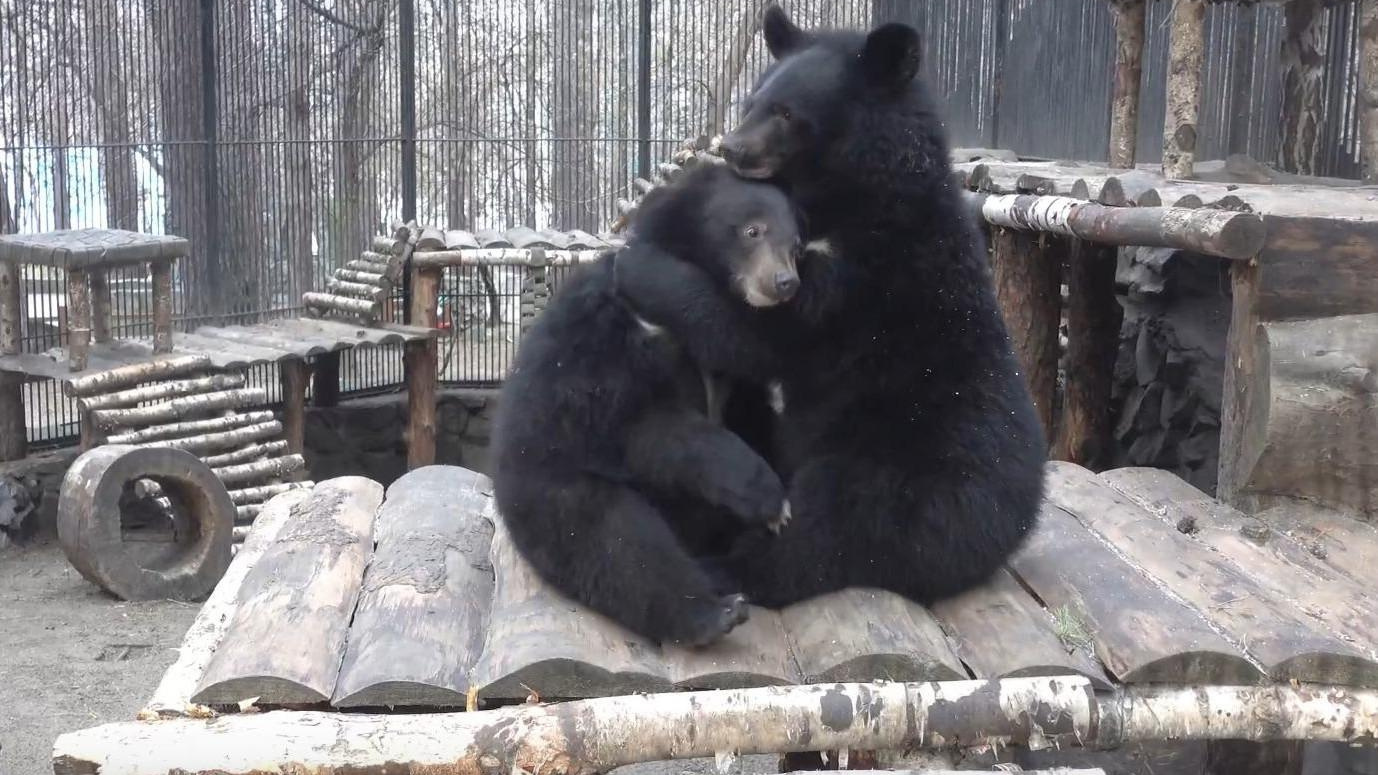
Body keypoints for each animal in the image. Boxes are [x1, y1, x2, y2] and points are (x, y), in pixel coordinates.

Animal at [490, 164, 804, 645]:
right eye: (753, 230)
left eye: (796, 246)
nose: (784, 284)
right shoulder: (610, 339)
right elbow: (639, 425)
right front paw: (771, 502)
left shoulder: (738, 380)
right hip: (554, 492)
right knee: (618, 543)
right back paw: (711, 613)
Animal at [644, 7, 1041, 609]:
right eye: (751, 101)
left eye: (787, 113)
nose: (732, 147)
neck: (847, 189)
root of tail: (1009, 532)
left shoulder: (866, 274)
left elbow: (759, 333)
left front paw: (639, 267)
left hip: (898, 464)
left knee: (827, 527)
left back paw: (732, 565)